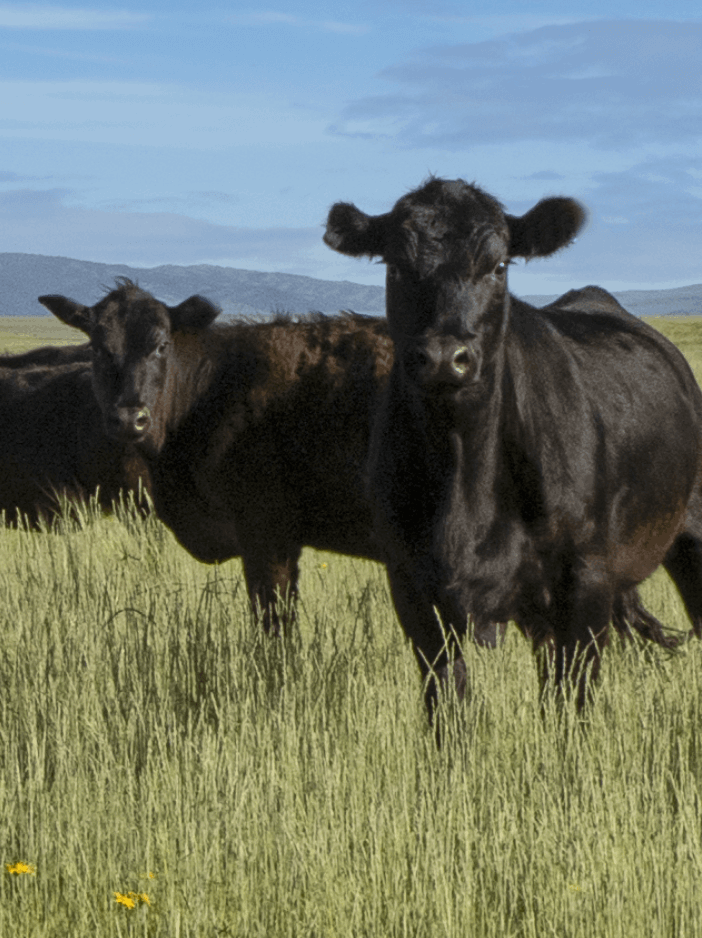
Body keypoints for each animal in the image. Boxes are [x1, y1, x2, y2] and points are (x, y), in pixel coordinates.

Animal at [39, 279, 679, 658]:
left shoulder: (266, 535)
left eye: (161, 345)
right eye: (97, 347)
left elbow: (275, 631)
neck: (212, 389)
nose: (130, 417)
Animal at [324, 176, 702, 718]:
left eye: (498, 265)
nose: (445, 357)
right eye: (395, 265)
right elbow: (447, 700)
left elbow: (572, 703)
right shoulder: (409, 582)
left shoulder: (586, 580)